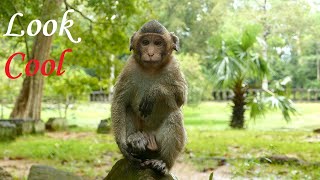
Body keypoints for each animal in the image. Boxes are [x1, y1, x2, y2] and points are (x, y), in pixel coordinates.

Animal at [111, 20, 188, 175]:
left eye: (158, 43)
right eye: (145, 42)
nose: (151, 53)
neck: (151, 69)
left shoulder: (174, 67)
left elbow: (180, 97)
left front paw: (154, 92)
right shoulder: (129, 68)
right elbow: (119, 102)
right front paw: (122, 144)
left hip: (158, 142)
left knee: (175, 115)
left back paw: (163, 163)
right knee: (127, 109)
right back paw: (136, 140)